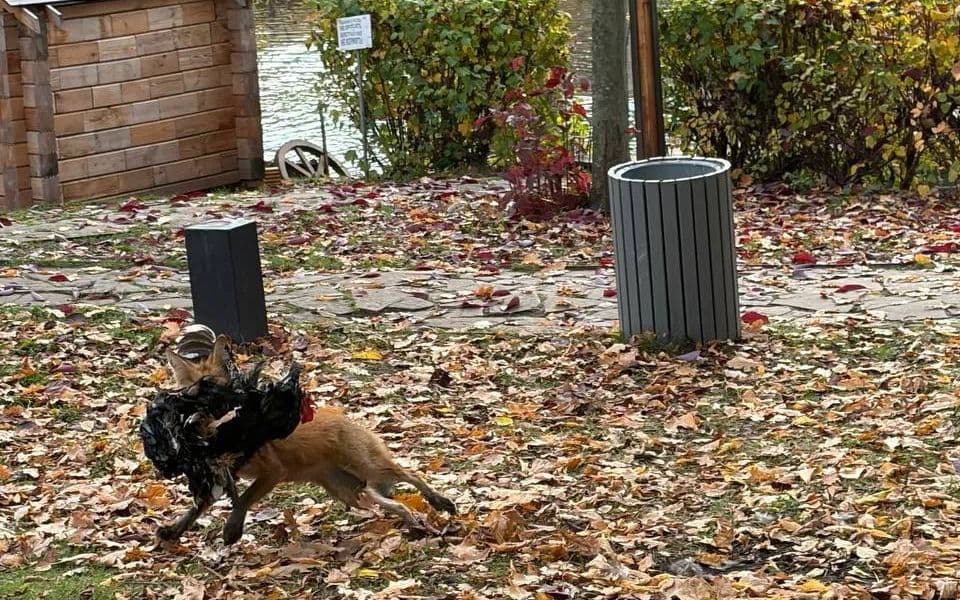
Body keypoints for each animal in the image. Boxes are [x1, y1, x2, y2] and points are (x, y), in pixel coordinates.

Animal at [160, 338, 456, 545]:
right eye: (187, 394)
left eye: (212, 392)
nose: (191, 420)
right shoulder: (219, 474)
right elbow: (197, 507)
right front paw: (175, 530)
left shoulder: (273, 472)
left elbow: (242, 499)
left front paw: (232, 529)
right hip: (351, 491)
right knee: (394, 504)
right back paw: (414, 521)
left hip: (368, 468)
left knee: (411, 474)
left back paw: (439, 501)